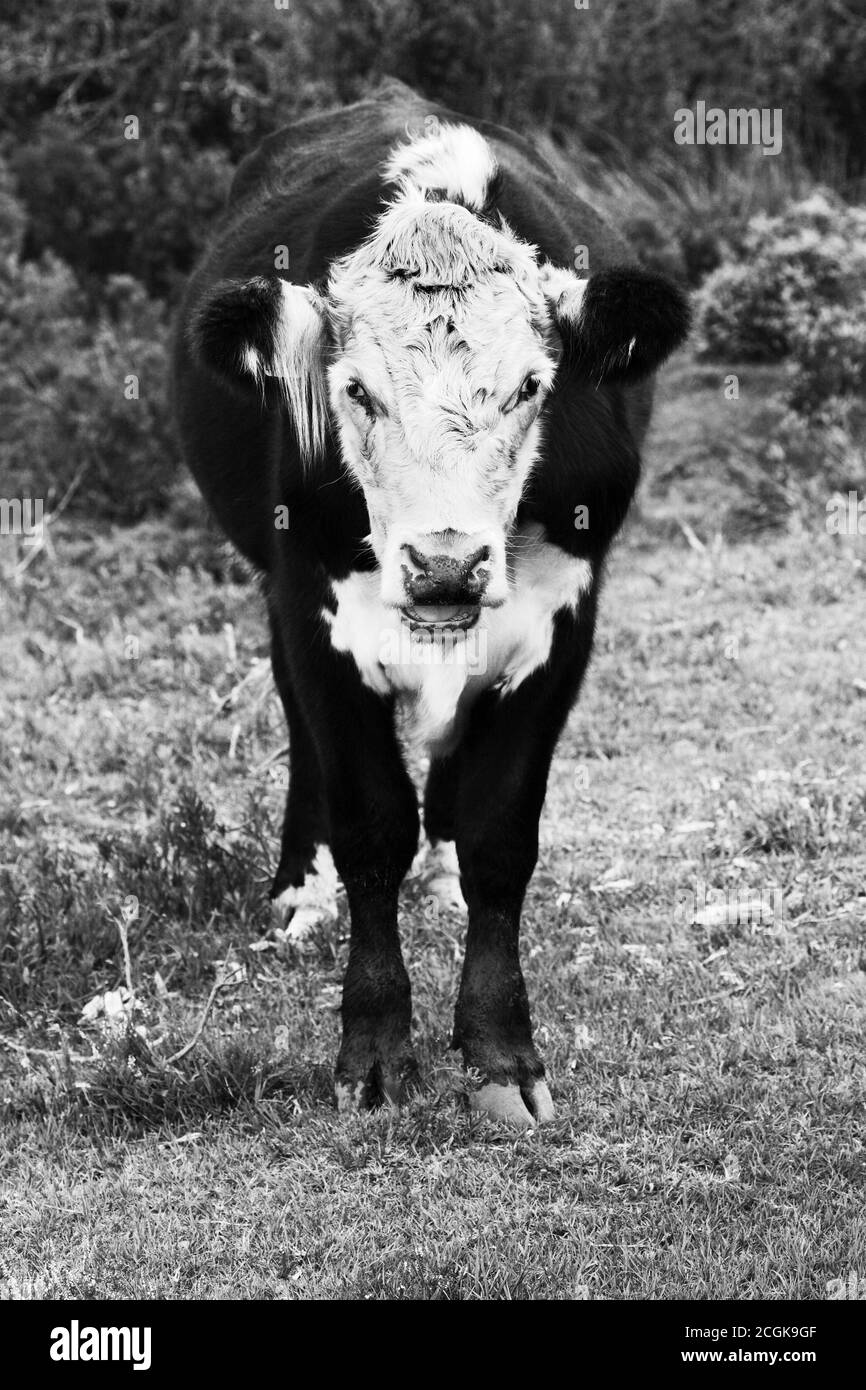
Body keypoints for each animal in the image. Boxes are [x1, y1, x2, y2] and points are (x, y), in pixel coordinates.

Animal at [172, 78, 689, 1126]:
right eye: (355, 392)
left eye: (532, 385)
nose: (445, 567)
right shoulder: (316, 612)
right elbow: (371, 823)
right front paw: (373, 1051)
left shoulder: (561, 624)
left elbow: (500, 833)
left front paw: (499, 1053)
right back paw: (303, 891)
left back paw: (441, 874)